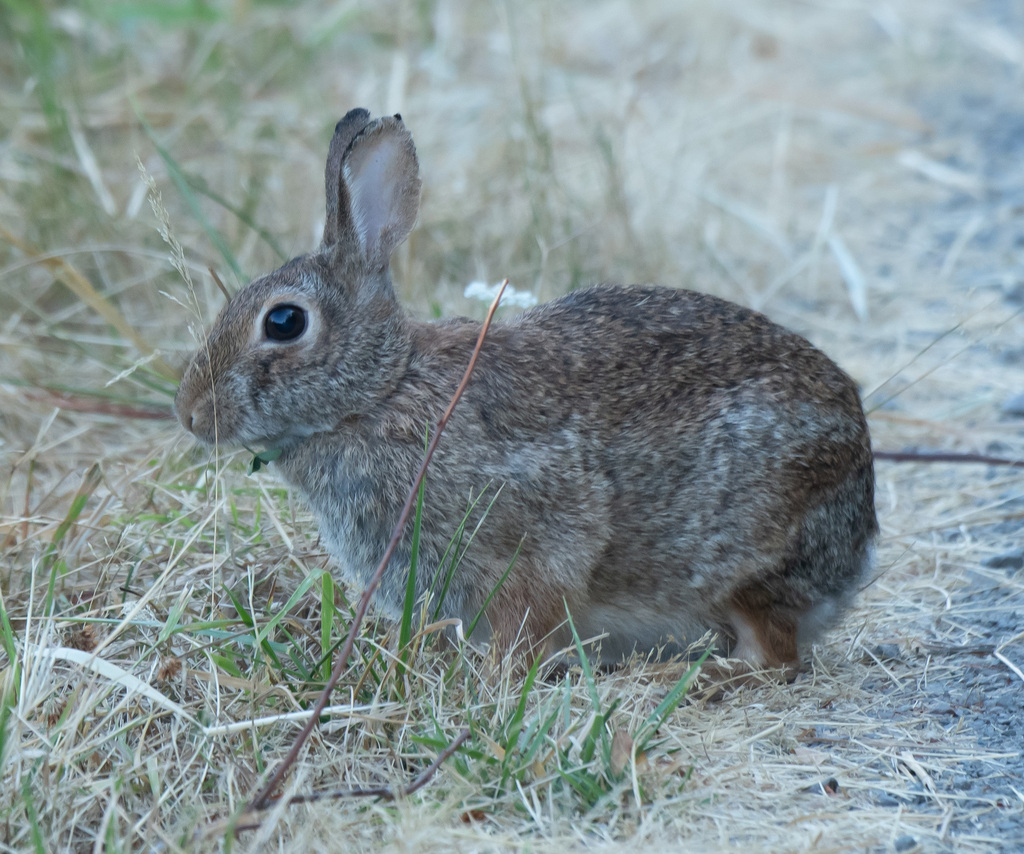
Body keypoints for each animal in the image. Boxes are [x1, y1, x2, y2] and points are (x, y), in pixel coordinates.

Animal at [175, 108, 878, 673]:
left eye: (284, 323)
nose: (190, 414)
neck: (382, 391)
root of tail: (859, 536)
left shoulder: (525, 549)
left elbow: (525, 624)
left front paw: (491, 682)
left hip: (744, 558)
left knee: (773, 657)